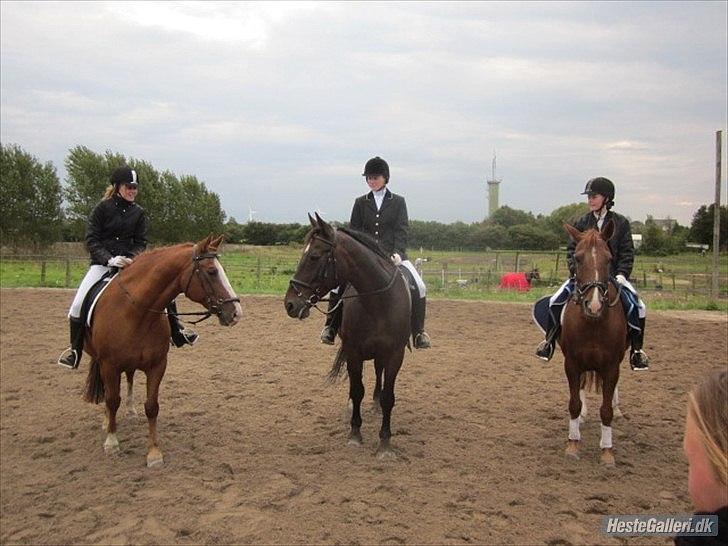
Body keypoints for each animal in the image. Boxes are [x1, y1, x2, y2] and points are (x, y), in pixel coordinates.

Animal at [82, 232, 242, 466]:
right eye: (212, 272)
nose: (236, 312)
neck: (136, 311)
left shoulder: (157, 365)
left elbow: (152, 406)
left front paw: (154, 453)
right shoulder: (109, 365)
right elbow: (112, 400)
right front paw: (111, 443)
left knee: (129, 377)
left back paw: (131, 411)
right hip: (101, 361)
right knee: (109, 391)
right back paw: (106, 421)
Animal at [282, 210, 412, 456]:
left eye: (314, 256)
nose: (290, 304)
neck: (377, 302)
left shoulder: (395, 354)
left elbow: (389, 396)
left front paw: (385, 443)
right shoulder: (353, 352)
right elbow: (357, 389)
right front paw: (355, 434)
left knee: (378, 374)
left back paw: (376, 403)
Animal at [560, 221, 628, 464]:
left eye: (608, 259)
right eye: (577, 258)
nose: (595, 304)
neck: (593, 323)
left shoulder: (611, 366)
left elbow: (606, 410)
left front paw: (607, 451)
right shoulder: (571, 363)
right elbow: (573, 404)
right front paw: (572, 444)